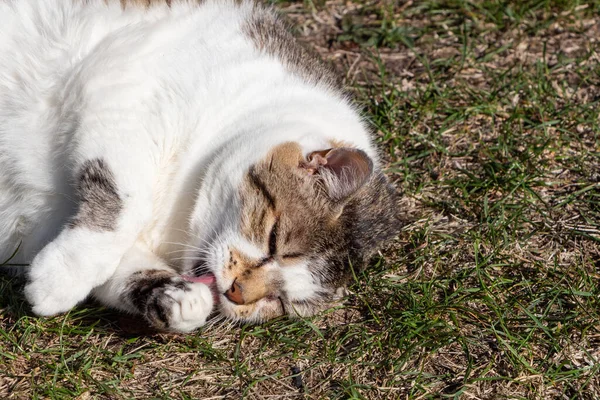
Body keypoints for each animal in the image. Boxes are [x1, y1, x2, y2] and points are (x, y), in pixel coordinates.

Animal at [0, 0, 398, 332]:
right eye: (273, 241)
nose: (238, 292)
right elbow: (128, 203)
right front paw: (61, 279)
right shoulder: (123, 91)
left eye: (281, 302)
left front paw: (176, 297)